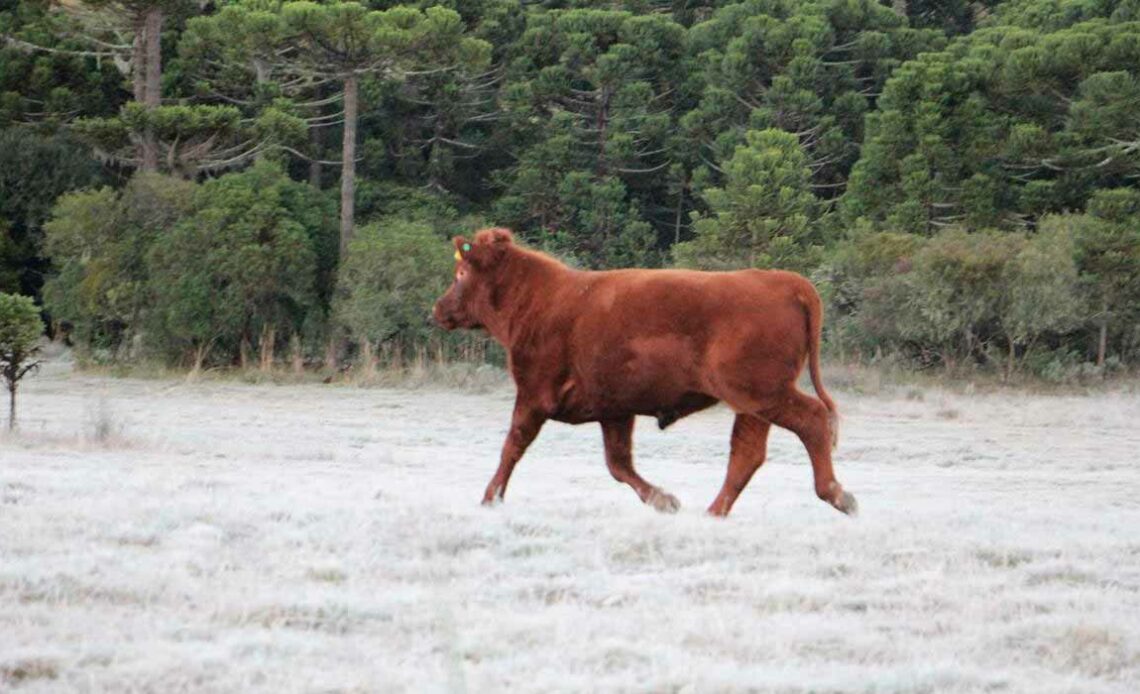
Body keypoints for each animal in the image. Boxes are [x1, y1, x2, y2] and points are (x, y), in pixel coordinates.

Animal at [428, 227, 857, 515]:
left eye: (461, 275)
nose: (438, 308)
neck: (538, 300)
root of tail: (784, 281)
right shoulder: (614, 409)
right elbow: (618, 464)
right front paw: (664, 499)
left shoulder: (534, 394)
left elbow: (513, 445)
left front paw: (490, 497)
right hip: (752, 403)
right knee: (747, 453)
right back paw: (713, 512)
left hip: (764, 393)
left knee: (811, 419)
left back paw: (838, 494)